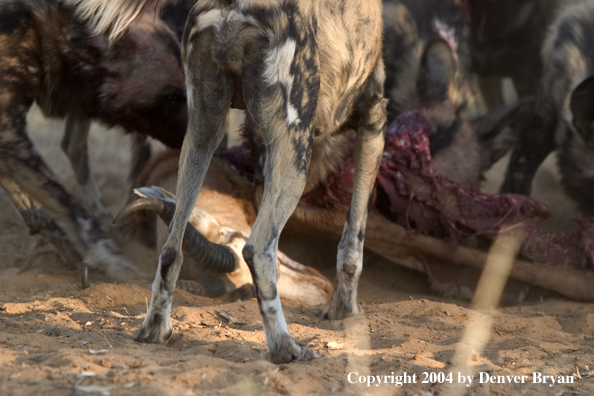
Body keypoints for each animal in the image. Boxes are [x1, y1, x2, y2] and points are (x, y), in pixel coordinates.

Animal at [0, 0, 185, 282]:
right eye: (171, 97)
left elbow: (36, 211)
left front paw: (64, 248)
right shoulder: (6, 124)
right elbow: (73, 210)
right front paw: (116, 264)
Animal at [69, 0, 386, 362]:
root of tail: (232, 6)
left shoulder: (259, 150)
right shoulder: (373, 123)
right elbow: (352, 243)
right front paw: (343, 311)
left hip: (203, 132)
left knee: (171, 248)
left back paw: (155, 329)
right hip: (294, 146)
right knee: (258, 249)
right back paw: (285, 347)